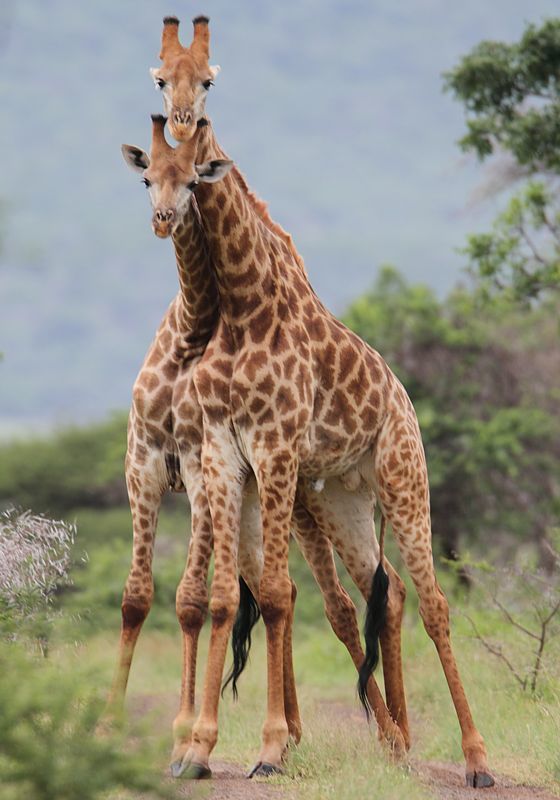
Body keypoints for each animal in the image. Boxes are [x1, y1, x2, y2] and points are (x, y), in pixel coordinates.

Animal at [117, 114, 406, 776]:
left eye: (194, 180)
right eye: (146, 177)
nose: (163, 218)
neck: (193, 336)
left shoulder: (197, 466)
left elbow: (194, 600)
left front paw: (188, 738)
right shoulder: (144, 462)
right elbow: (140, 598)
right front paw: (110, 726)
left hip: (301, 503)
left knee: (338, 598)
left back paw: (384, 734)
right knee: (309, 593)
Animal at [150, 14, 494, 788]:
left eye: (208, 80)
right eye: (158, 79)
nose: (184, 126)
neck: (239, 308)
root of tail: (402, 396)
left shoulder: (273, 446)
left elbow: (276, 593)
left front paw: (268, 749)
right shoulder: (223, 453)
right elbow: (229, 596)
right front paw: (200, 750)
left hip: (403, 477)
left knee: (433, 602)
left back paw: (475, 758)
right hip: (341, 498)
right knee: (382, 592)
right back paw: (399, 742)